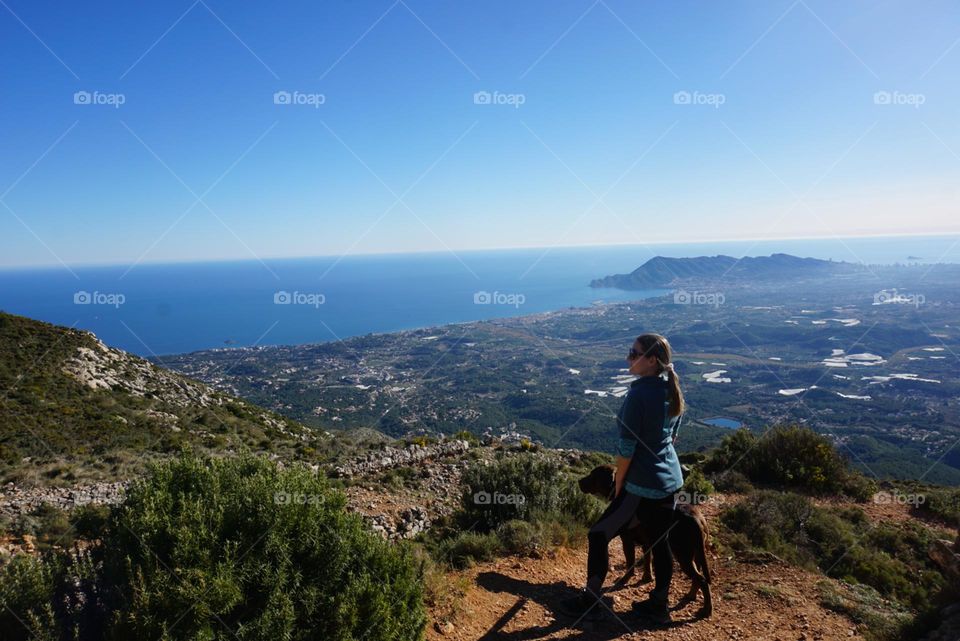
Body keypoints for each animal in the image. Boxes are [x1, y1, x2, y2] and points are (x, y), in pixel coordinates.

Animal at [576, 464, 712, 616]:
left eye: (593, 475)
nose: (579, 481)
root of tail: (698, 519)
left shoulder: (627, 539)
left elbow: (630, 564)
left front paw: (624, 579)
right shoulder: (648, 543)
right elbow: (647, 562)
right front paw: (647, 578)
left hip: (683, 555)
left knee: (702, 579)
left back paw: (706, 609)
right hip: (695, 553)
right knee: (698, 577)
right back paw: (691, 595)